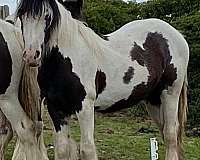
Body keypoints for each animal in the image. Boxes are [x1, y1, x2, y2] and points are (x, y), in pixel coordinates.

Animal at [16, 0, 189, 160]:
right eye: (21, 15)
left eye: (47, 16)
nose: (31, 56)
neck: (66, 60)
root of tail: (177, 35)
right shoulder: (55, 108)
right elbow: (63, 149)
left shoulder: (85, 106)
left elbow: (87, 149)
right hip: (153, 99)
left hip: (170, 94)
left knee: (170, 134)